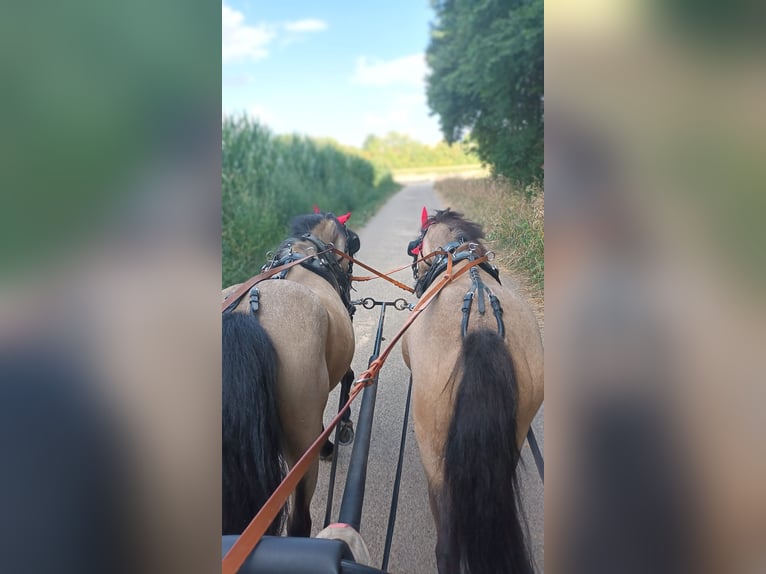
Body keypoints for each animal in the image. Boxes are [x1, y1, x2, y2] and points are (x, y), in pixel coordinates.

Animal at [222, 213, 360, 540]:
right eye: (353, 243)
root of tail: (249, 313)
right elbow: (348, 376)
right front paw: (342, 429)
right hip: (300, 450)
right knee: (300, 520)